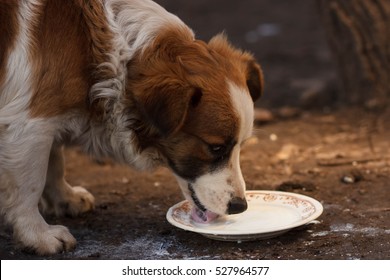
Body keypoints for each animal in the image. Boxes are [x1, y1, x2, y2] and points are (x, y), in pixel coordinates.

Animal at [0, 0, 264, 255]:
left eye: (241, 145)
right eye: (216, 148)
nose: (240, 207)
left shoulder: (46, 117)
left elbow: (54, 162)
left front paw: (63, 197)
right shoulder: (29, 123)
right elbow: (30, 185)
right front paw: (37, 234)